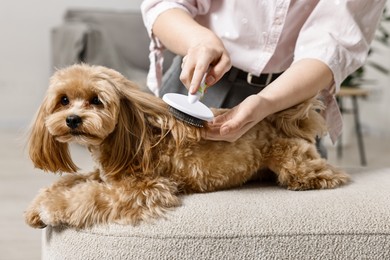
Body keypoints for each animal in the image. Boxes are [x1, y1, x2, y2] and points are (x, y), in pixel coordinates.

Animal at [24, 64, 348, 229]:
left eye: (96, 100)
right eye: (64, 100)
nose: (73, 120)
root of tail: (276, 120)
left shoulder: (145, 189)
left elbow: (89, 195)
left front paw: (52, 208)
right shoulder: (107, 174)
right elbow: (71, 180)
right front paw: (37, 206)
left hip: (294, 162)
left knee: (324, 173)